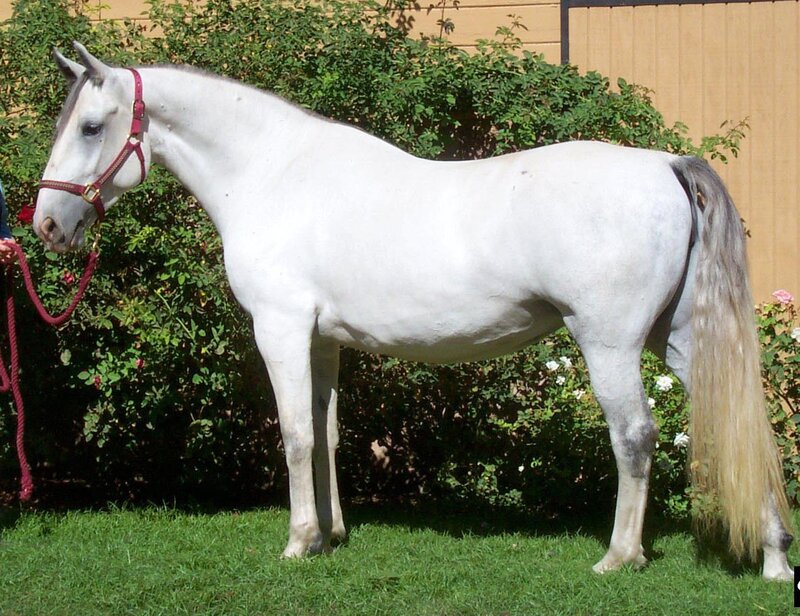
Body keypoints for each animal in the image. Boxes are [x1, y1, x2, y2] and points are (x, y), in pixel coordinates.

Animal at [33, 43, 793, 580]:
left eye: (93, 126)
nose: (46, 225)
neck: (272, 175)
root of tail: (664, 163)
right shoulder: (323, 341)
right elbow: (326, 433)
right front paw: (332, 534)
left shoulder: (280, 328)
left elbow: (295, 436)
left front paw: (299, 541)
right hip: (681, 340)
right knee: (741, 421)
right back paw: (774, 557)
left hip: (609, 344)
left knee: (635, 436)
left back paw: (619, 557)